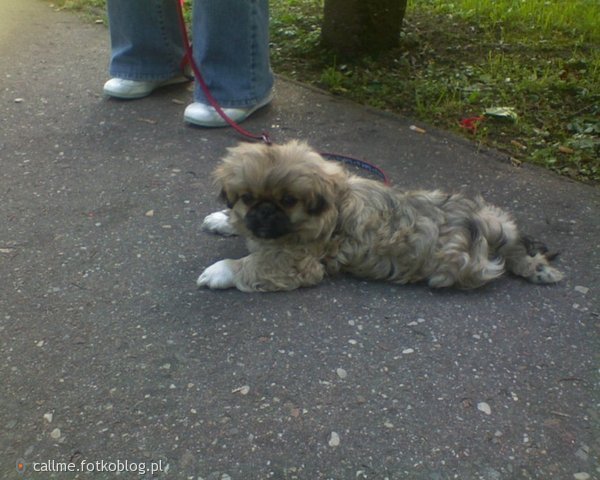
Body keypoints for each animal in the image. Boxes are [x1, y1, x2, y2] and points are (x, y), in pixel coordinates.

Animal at [197, 141, 564, 290]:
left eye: (288, 201)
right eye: (247, 198)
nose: (263, 212)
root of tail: (485, 226)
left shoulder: (296, 262)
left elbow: (253, 263)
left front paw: (220, 270)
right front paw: (223, 219)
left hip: (457, 266)